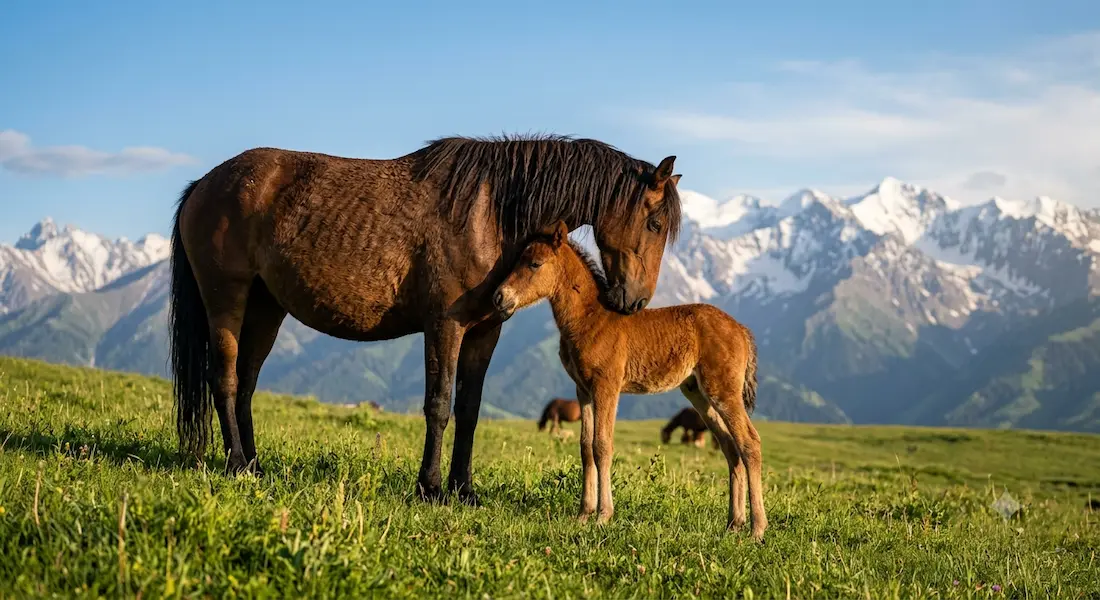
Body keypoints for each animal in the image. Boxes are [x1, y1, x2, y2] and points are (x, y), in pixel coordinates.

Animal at [168, 134, 683, 505]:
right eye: (655, 224)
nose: (633, 302)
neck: (489, 212)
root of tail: (202, 185)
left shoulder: (485, 330)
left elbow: (470, 409)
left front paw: (464, 489)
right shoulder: (444, 325)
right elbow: (438, 404)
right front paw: (431, 487)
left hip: (266, 307)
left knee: (248, 382)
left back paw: (255, 465)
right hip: (226, 299)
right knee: (225, 379)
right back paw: (236, 464)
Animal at [493, 221, 767, 540]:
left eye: (535, 263)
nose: (499, 297)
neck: (589, 319)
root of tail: (741, 330)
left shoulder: (607, 387)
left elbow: (602, 445)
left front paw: (603, 515)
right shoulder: (583, 389)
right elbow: (585, 447)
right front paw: (583, 514)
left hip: (723, 390)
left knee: (749, 443)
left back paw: (757, 529)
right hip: (698, 394)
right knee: (729, 446)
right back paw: (733, 523)